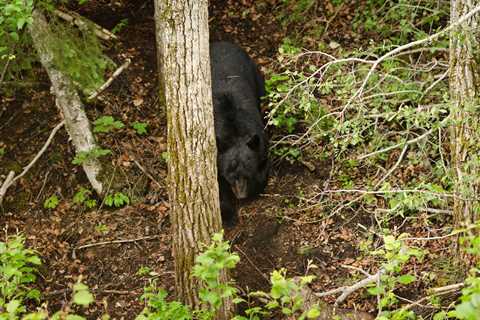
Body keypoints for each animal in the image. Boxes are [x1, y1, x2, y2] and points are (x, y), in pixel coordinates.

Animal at [211, 40, 270, 225]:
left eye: (246, 173)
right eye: (231, 175)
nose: (241, 195)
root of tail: (221, 42)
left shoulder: (260, 140)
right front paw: (228, 215)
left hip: (255, 74)